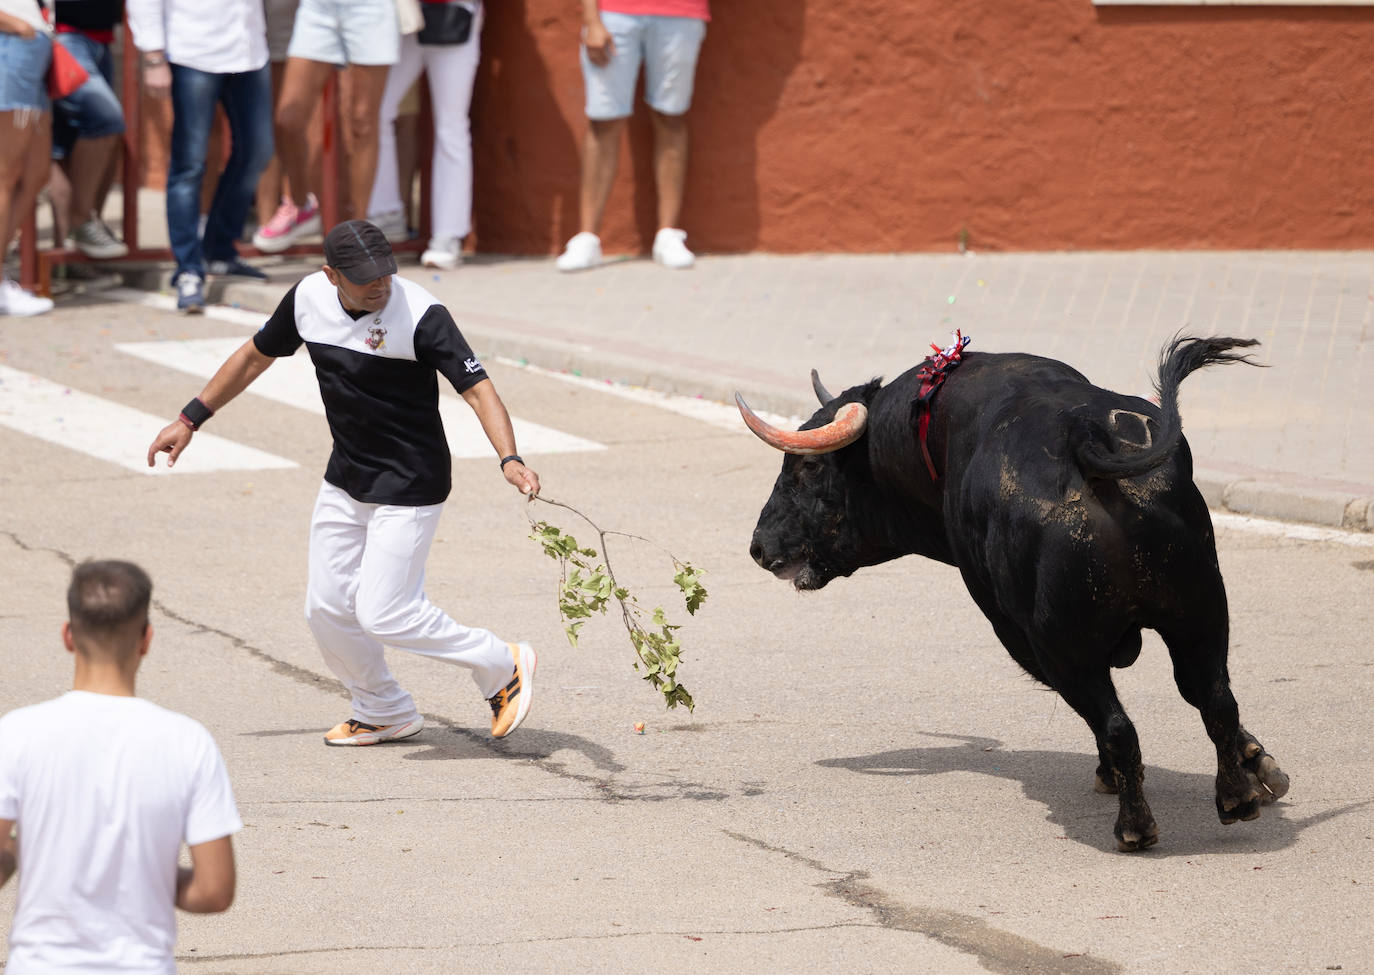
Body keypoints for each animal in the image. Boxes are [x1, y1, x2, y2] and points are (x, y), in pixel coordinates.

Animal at [741, 337, 1286, 856]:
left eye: (807, 469)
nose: (759, 547)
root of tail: (1092, 441)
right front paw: (1261, 765)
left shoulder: (1016, 631)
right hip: (1201, 614)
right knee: (1213, 696)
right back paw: (1237, 797)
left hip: (1064, 645)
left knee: (1118, 724)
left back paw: (1136, 827)